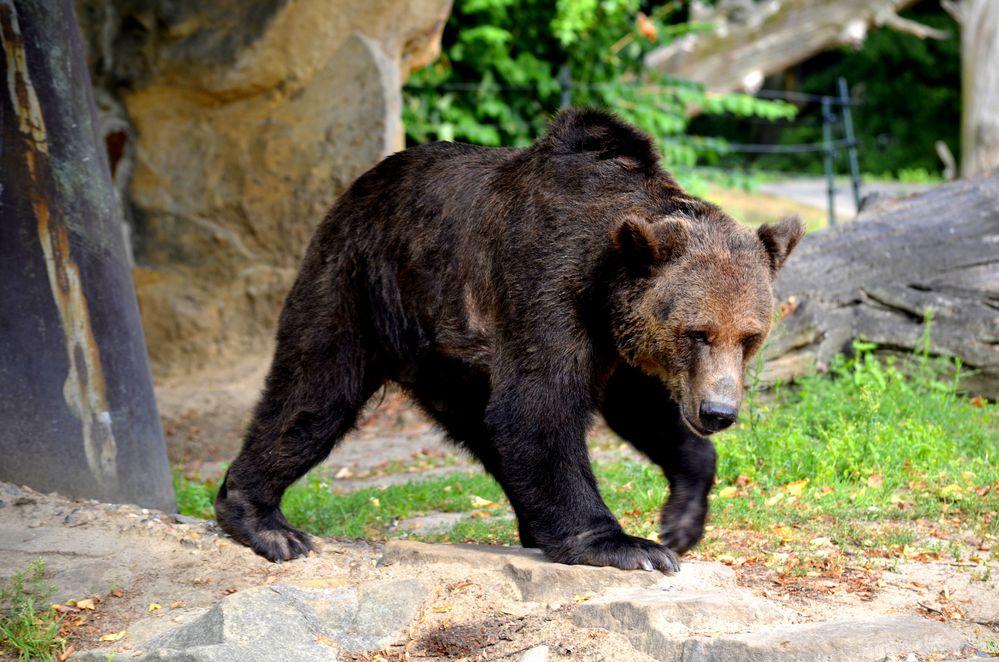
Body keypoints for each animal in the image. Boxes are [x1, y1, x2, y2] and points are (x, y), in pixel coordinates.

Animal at [217, 107, 804, 572]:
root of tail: (354, 189)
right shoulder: (547, 284)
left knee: (480, 428)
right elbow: (537, 407)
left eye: (750, 337)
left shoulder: (617, 342)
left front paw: (679, 520)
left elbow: (640, 409)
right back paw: (264, 521)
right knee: (316, 395)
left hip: (447, 359)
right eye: (697, 332)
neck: (605, 285)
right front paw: (626, 545)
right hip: (359, 284)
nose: (718, 412)